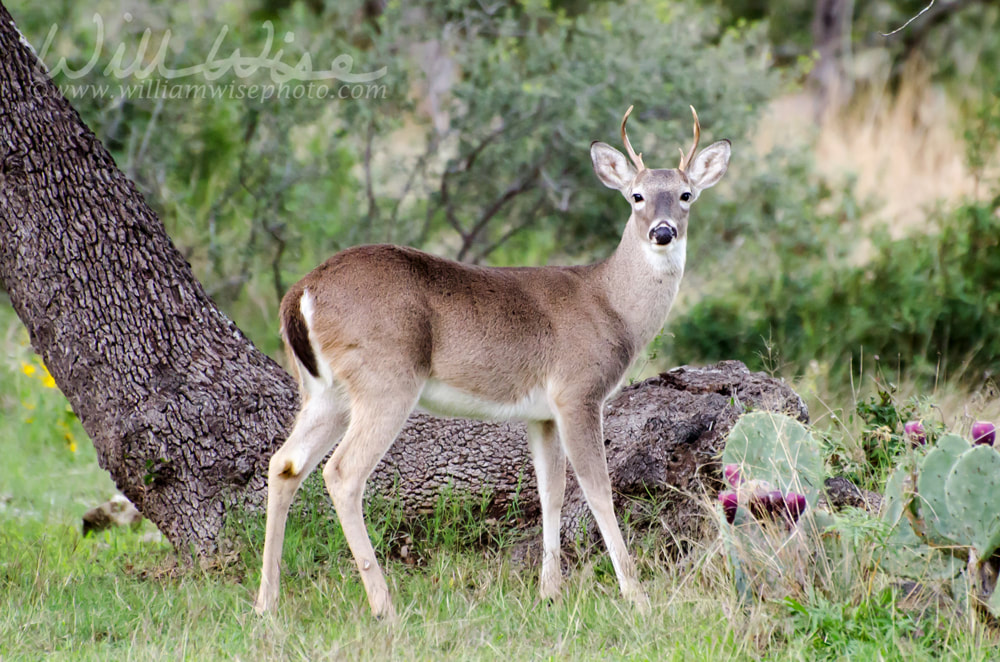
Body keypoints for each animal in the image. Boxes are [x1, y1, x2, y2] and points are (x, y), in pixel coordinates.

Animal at [254, 106, 732, 620]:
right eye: (636, 195)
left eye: (685, 194)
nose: (662, 231)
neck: (610, 304)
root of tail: (301, 292)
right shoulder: (578, 391)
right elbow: (597, 488)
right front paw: (636, 596)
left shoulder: (542, 413)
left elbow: (551, 491)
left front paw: (549, 592)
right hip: (386, 379)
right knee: (342, 473)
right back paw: (384, 607)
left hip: (326, 391)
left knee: (284, 463)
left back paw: (267, 603)